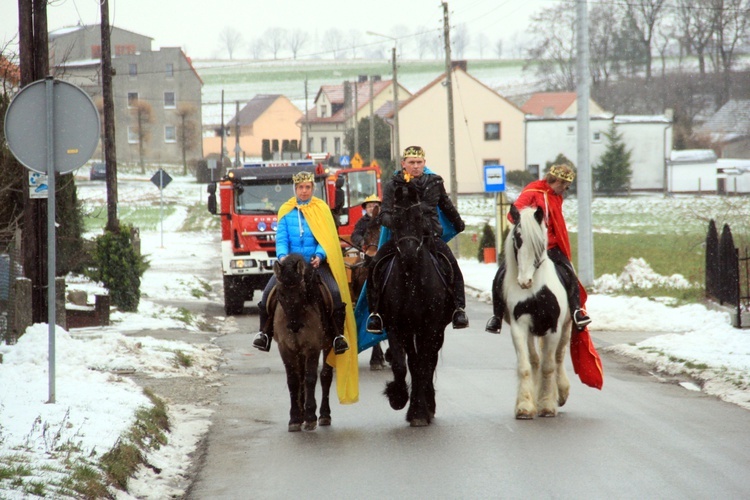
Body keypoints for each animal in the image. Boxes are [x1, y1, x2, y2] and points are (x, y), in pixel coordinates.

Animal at [268, 254, 332, 430]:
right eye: (281, 294)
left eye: (302, 292)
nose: (294, 326)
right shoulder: (285, 348)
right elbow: (293, 380)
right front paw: (295, 418)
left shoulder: (313, 348)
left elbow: (311, 378)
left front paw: (310, 416)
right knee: (301, 376)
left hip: (328, 345)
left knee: (325, 376)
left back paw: (324, 415)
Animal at [368, 184, 452, 426]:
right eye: (395, 219)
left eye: (419, 217)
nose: (407, 254)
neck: (412, 278)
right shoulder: (397, 327)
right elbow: (402, 364)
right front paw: (399, 398)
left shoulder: (430, 327)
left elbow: (424, 364)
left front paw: (420, 411)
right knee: (415, 363)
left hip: (436, 332)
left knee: (429, 361)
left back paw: (428, 405)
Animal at [502, 205, 572, 420]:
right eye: (517, 238)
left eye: (540, 242)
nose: (524, 282)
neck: (536, 290)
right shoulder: (519, 327)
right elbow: (525, 366)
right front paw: (525, 406)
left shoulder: (553, 328)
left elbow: (549, 366)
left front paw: (547, 404)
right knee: (535, 360)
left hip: (566, 327)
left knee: (558, 357)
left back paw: (561, 393)